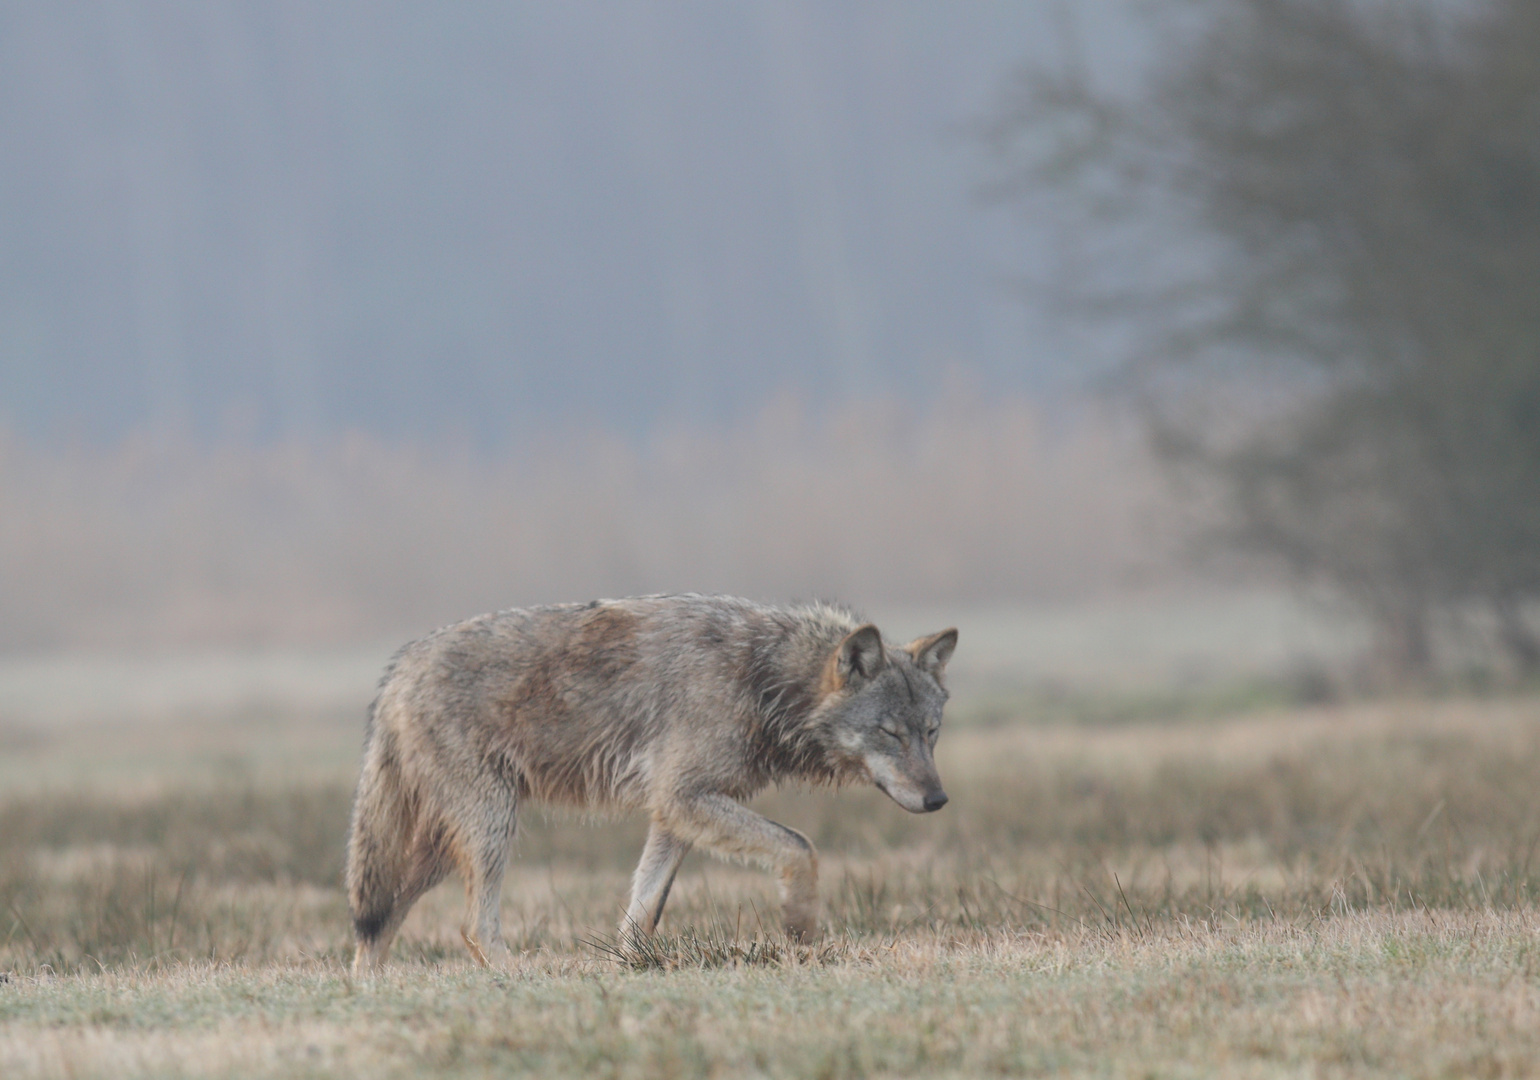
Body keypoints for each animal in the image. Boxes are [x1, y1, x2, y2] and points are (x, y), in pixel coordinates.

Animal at [343, 594, 954, 973]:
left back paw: (369, 989)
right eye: (889, 733)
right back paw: (520, 976)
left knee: (378, 920)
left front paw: (630, 967)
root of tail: (397, 669)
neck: (760, 677)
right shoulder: (684, 798)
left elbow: (642, 911)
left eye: (931, 733)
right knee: (470, 925)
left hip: (443, 850)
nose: (938, 800)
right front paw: (800, 928)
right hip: (491, 830)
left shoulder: (673, 814)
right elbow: (801, 846)